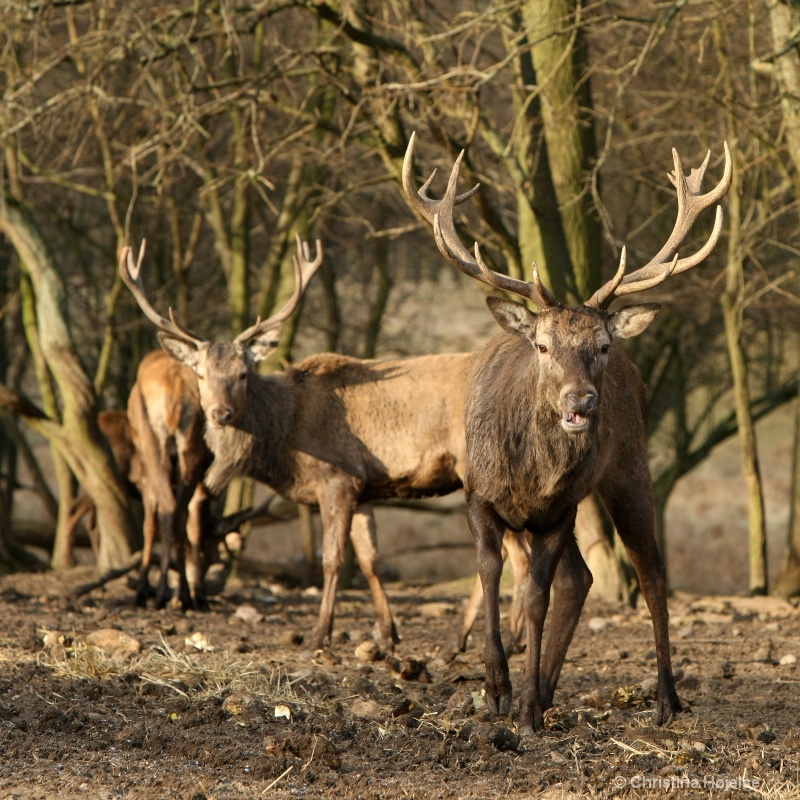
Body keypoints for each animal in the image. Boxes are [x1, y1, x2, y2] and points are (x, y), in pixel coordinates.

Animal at [404, 133, 736, 736]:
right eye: (541, 345)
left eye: (599, 346)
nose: (580, 401)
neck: (527, 477)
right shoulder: (477, 493)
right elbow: (490, 572)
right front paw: (498, 688)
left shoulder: (558, 510)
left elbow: (536, 594)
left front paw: (525, 708)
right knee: (581, 578)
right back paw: (550, 688)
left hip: (630, 470)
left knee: (650, 572)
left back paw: (664, 698)